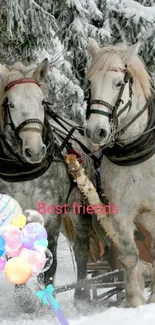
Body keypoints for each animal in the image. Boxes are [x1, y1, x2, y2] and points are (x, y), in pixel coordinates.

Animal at [85, 38, 155, 306]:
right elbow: (129, 256)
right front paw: (134, 301)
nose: (95, 131)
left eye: (118, 83)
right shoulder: (121, 212)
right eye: (90, 83)